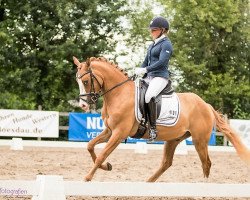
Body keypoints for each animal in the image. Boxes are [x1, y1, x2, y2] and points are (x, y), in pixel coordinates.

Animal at [73, 55, 249, 181]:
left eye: (86, 81)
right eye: (78, 81)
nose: (83, 105)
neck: (119, 94)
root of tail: (205, 104)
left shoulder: (119, 133)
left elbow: (102, 154)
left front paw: (88, 177)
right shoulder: (110, 131)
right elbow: (90, 146)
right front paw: (107, 166)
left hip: (199, 140)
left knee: (206, 163)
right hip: (174, 139)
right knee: (166, 163)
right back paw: (148, 182)